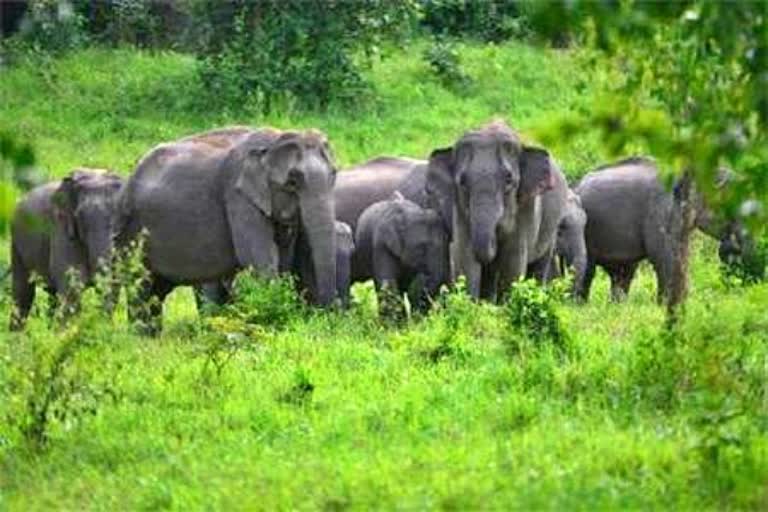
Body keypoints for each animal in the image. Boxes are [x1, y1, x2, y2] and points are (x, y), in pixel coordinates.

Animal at [9, 168, 123, 328]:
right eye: (79, 216)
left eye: (119, 213)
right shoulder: (61, 228)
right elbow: (72, 287)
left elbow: (114, 283)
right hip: (16, 241)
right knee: (23, 292)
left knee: (52, 295)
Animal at [115, 126, 338, 330]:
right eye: (292, 182)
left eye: (333, 175)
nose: (326, 314)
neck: (274, 139)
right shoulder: (238, 197)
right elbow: (259, 259)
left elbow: (283, 258)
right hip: (132, 231)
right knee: (141, 286)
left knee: (156, 291)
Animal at [424, 121, 568, 300]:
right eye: (462, 182)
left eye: (509, 180)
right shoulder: (459, 208)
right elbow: (464, 258)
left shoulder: (525, 207)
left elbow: (512, 264)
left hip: (551, 226)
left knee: (540, 263)